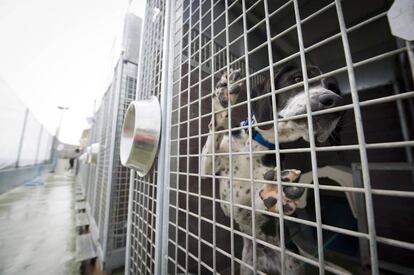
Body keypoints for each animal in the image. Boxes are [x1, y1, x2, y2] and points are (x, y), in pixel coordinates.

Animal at [201, 65, 342, 275]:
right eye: (297, 78)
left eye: (333, 88)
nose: (334, 101)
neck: (255, 145)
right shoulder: (207, 166)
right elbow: (215, 130)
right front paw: (223, 97)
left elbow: (263, 202)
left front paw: (277, 192)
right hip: (247, 266)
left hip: (292, 266)